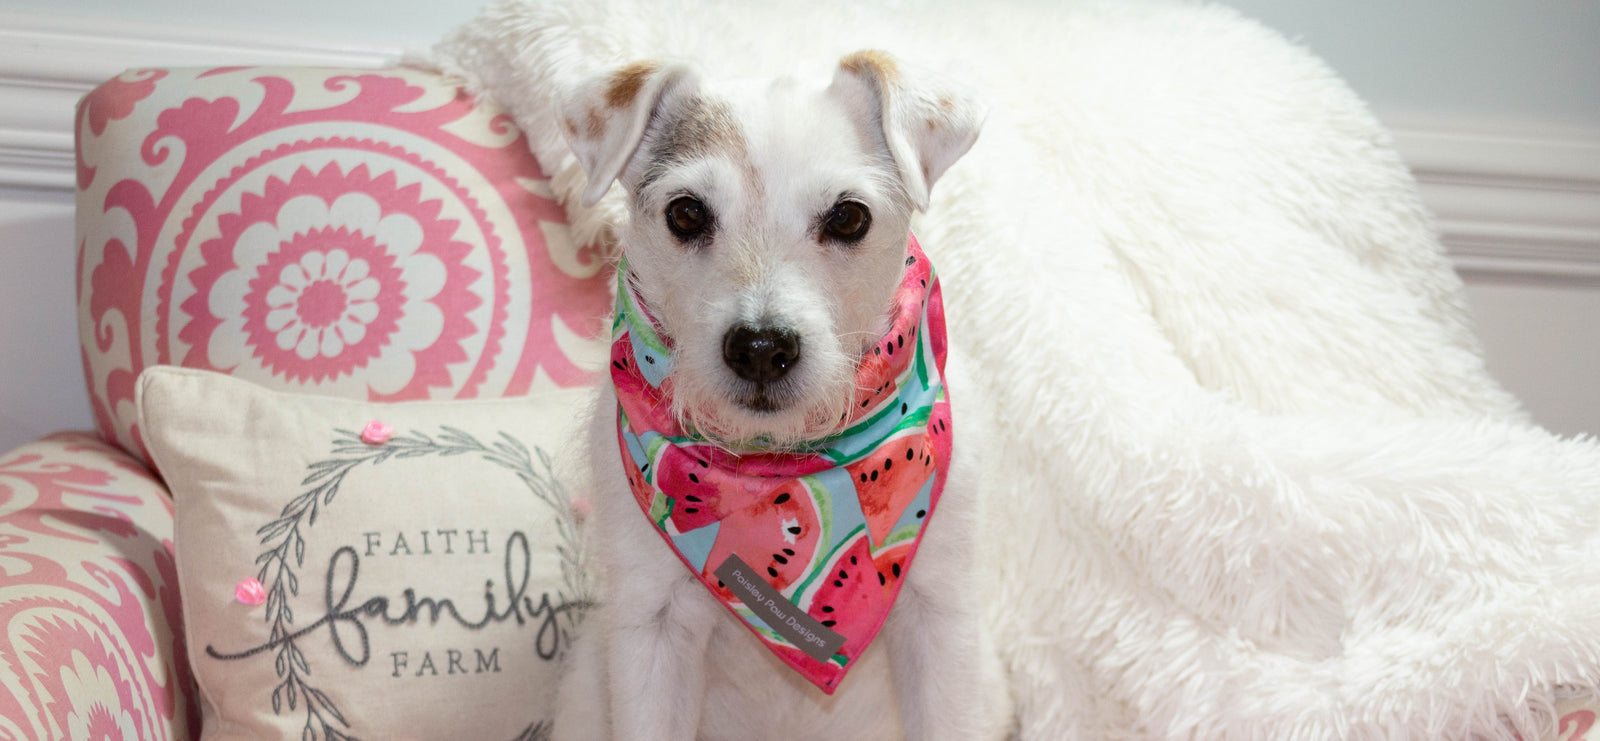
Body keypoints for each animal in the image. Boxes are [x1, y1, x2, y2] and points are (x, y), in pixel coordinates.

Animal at [544, 50, 1004, 741]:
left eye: (847, 216)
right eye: (686, 213)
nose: (760, 348)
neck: (777, 463)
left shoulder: (940, 621)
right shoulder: (652, 631)